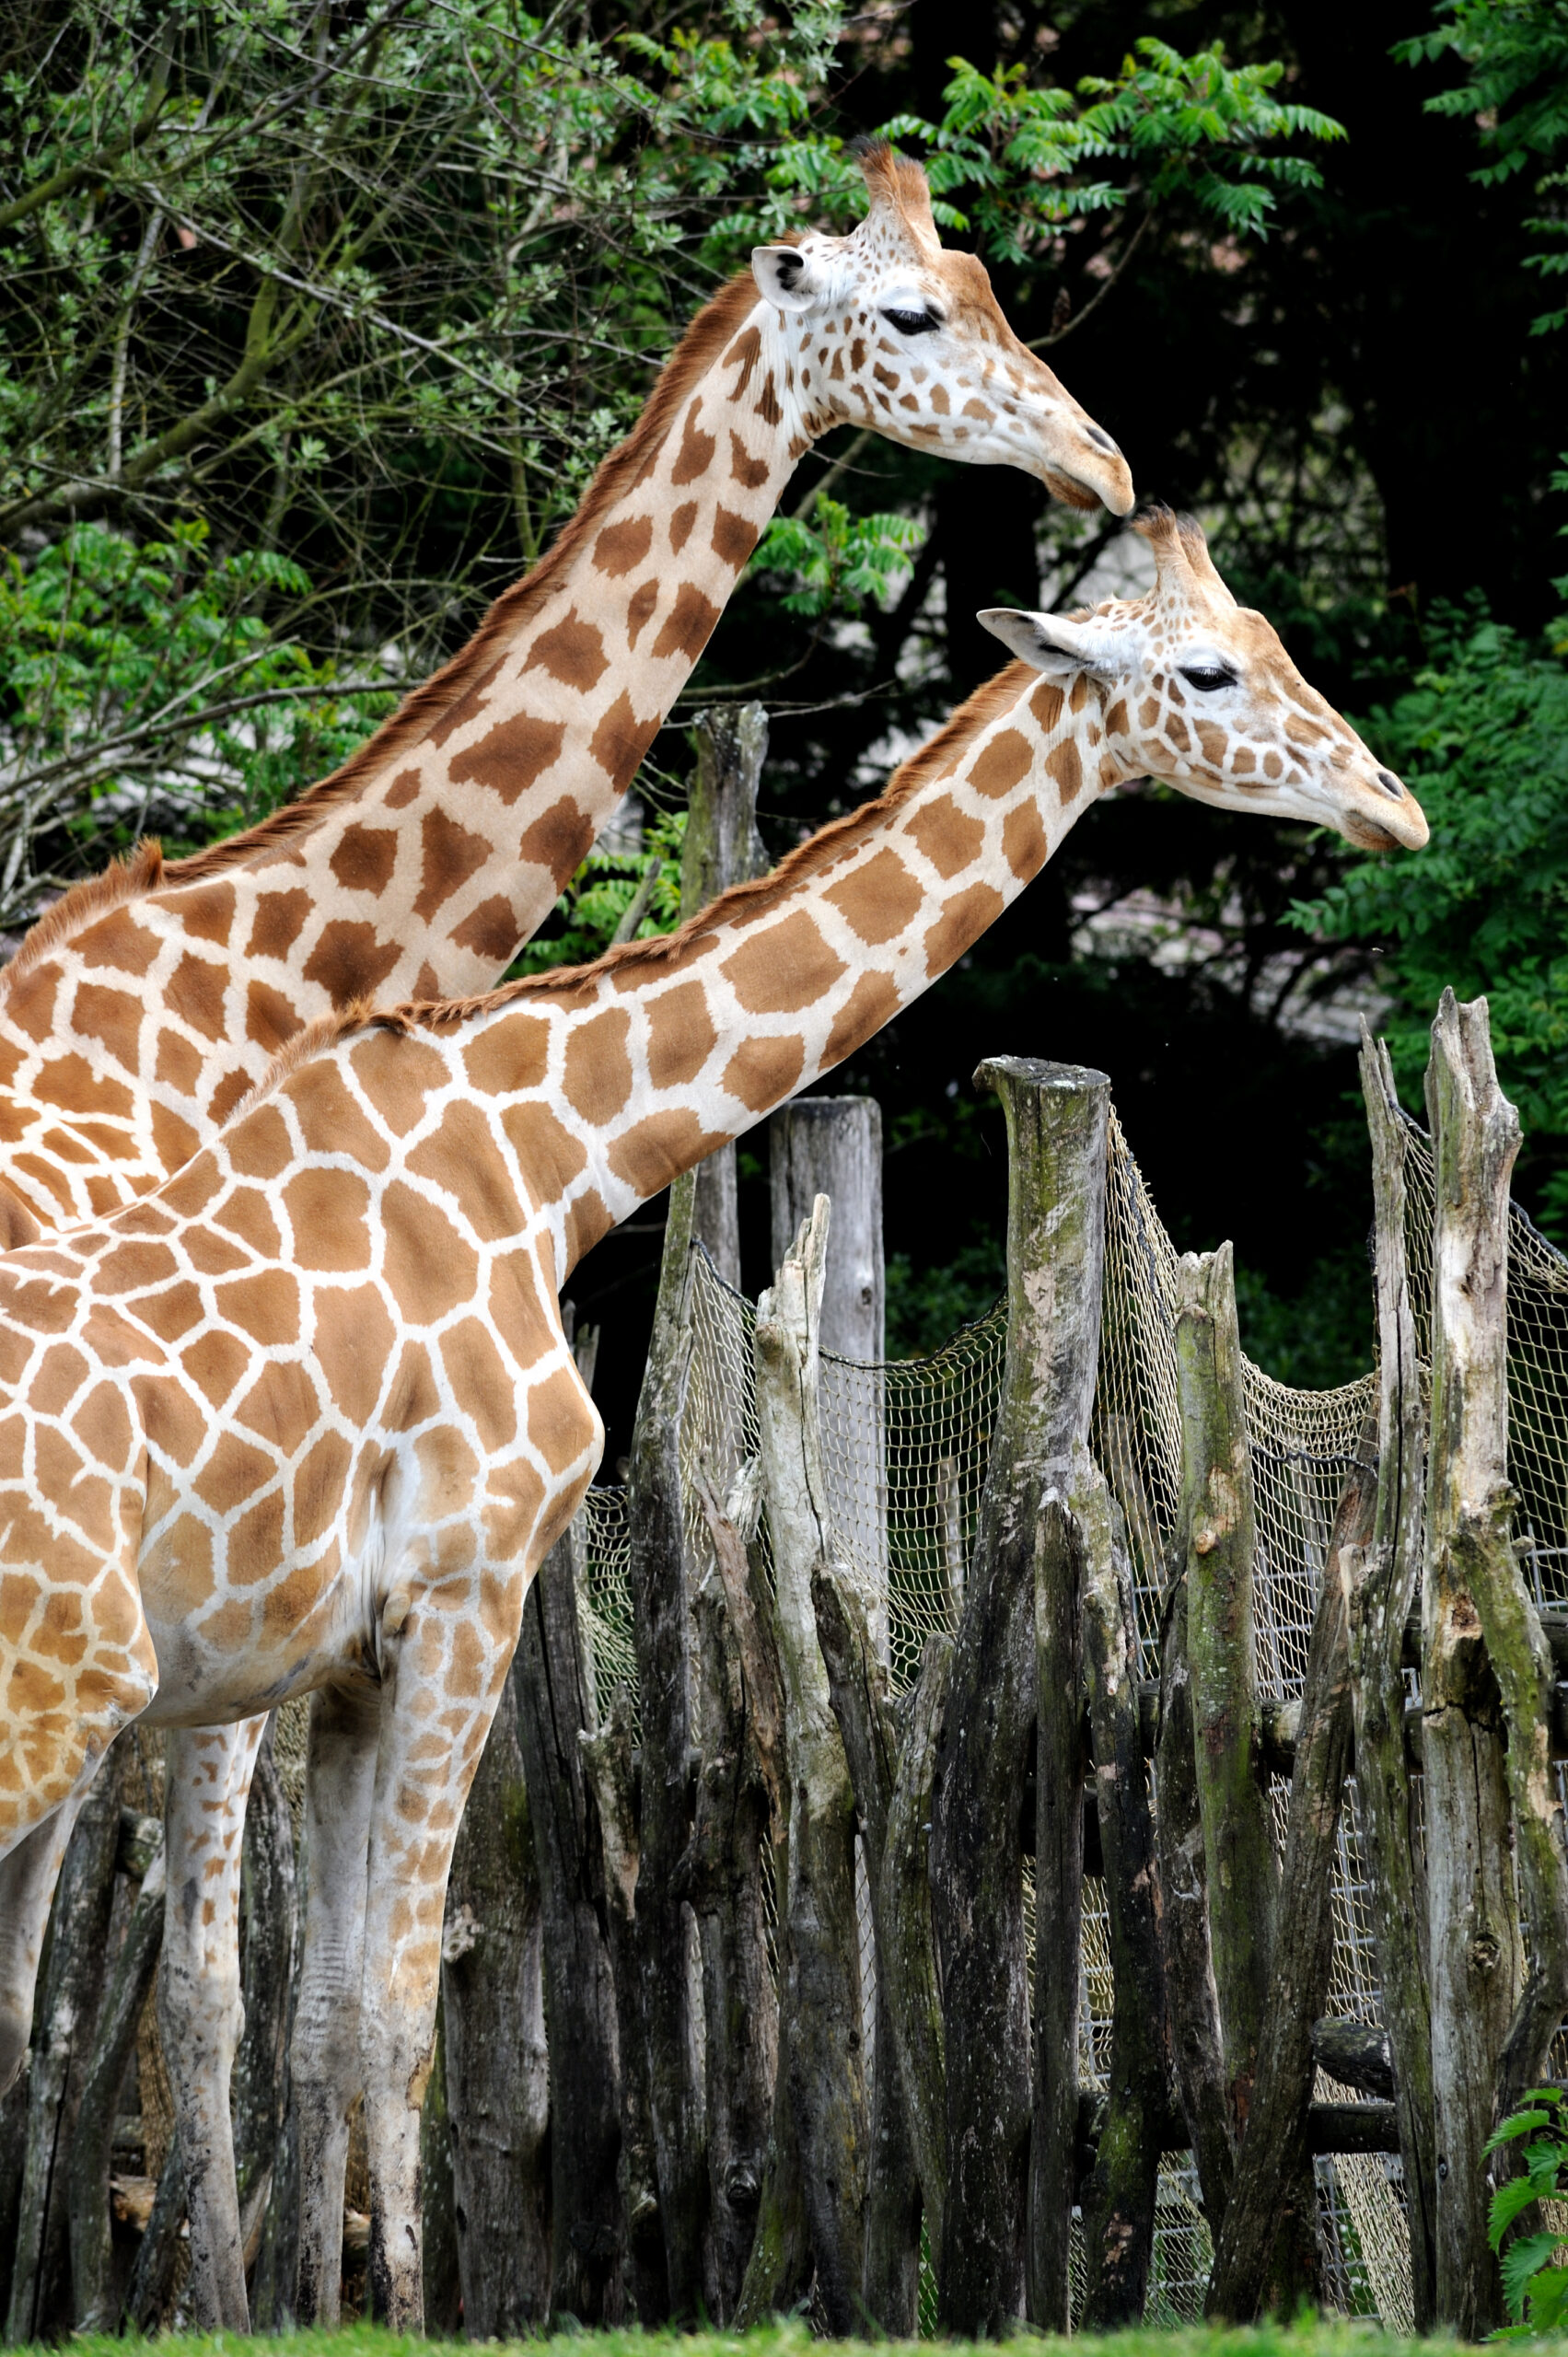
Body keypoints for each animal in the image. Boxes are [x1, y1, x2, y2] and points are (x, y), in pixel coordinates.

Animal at [0, 138, 1135, 2325]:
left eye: (976, 275)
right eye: (915, 313)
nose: (1103, 463)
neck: (267, 973)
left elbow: (222, 1985)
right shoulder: (238, 1561)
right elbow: (211, 1987)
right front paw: (249, 2304)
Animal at [0, 508, 1427, 2327]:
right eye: (1206, 672)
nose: (1391, 803)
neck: (545, 1153)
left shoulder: (345, 1658)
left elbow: (316, 2018)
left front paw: (325, 2321)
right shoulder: (460, 1597)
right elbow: (385, 2013)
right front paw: (419, 2317)